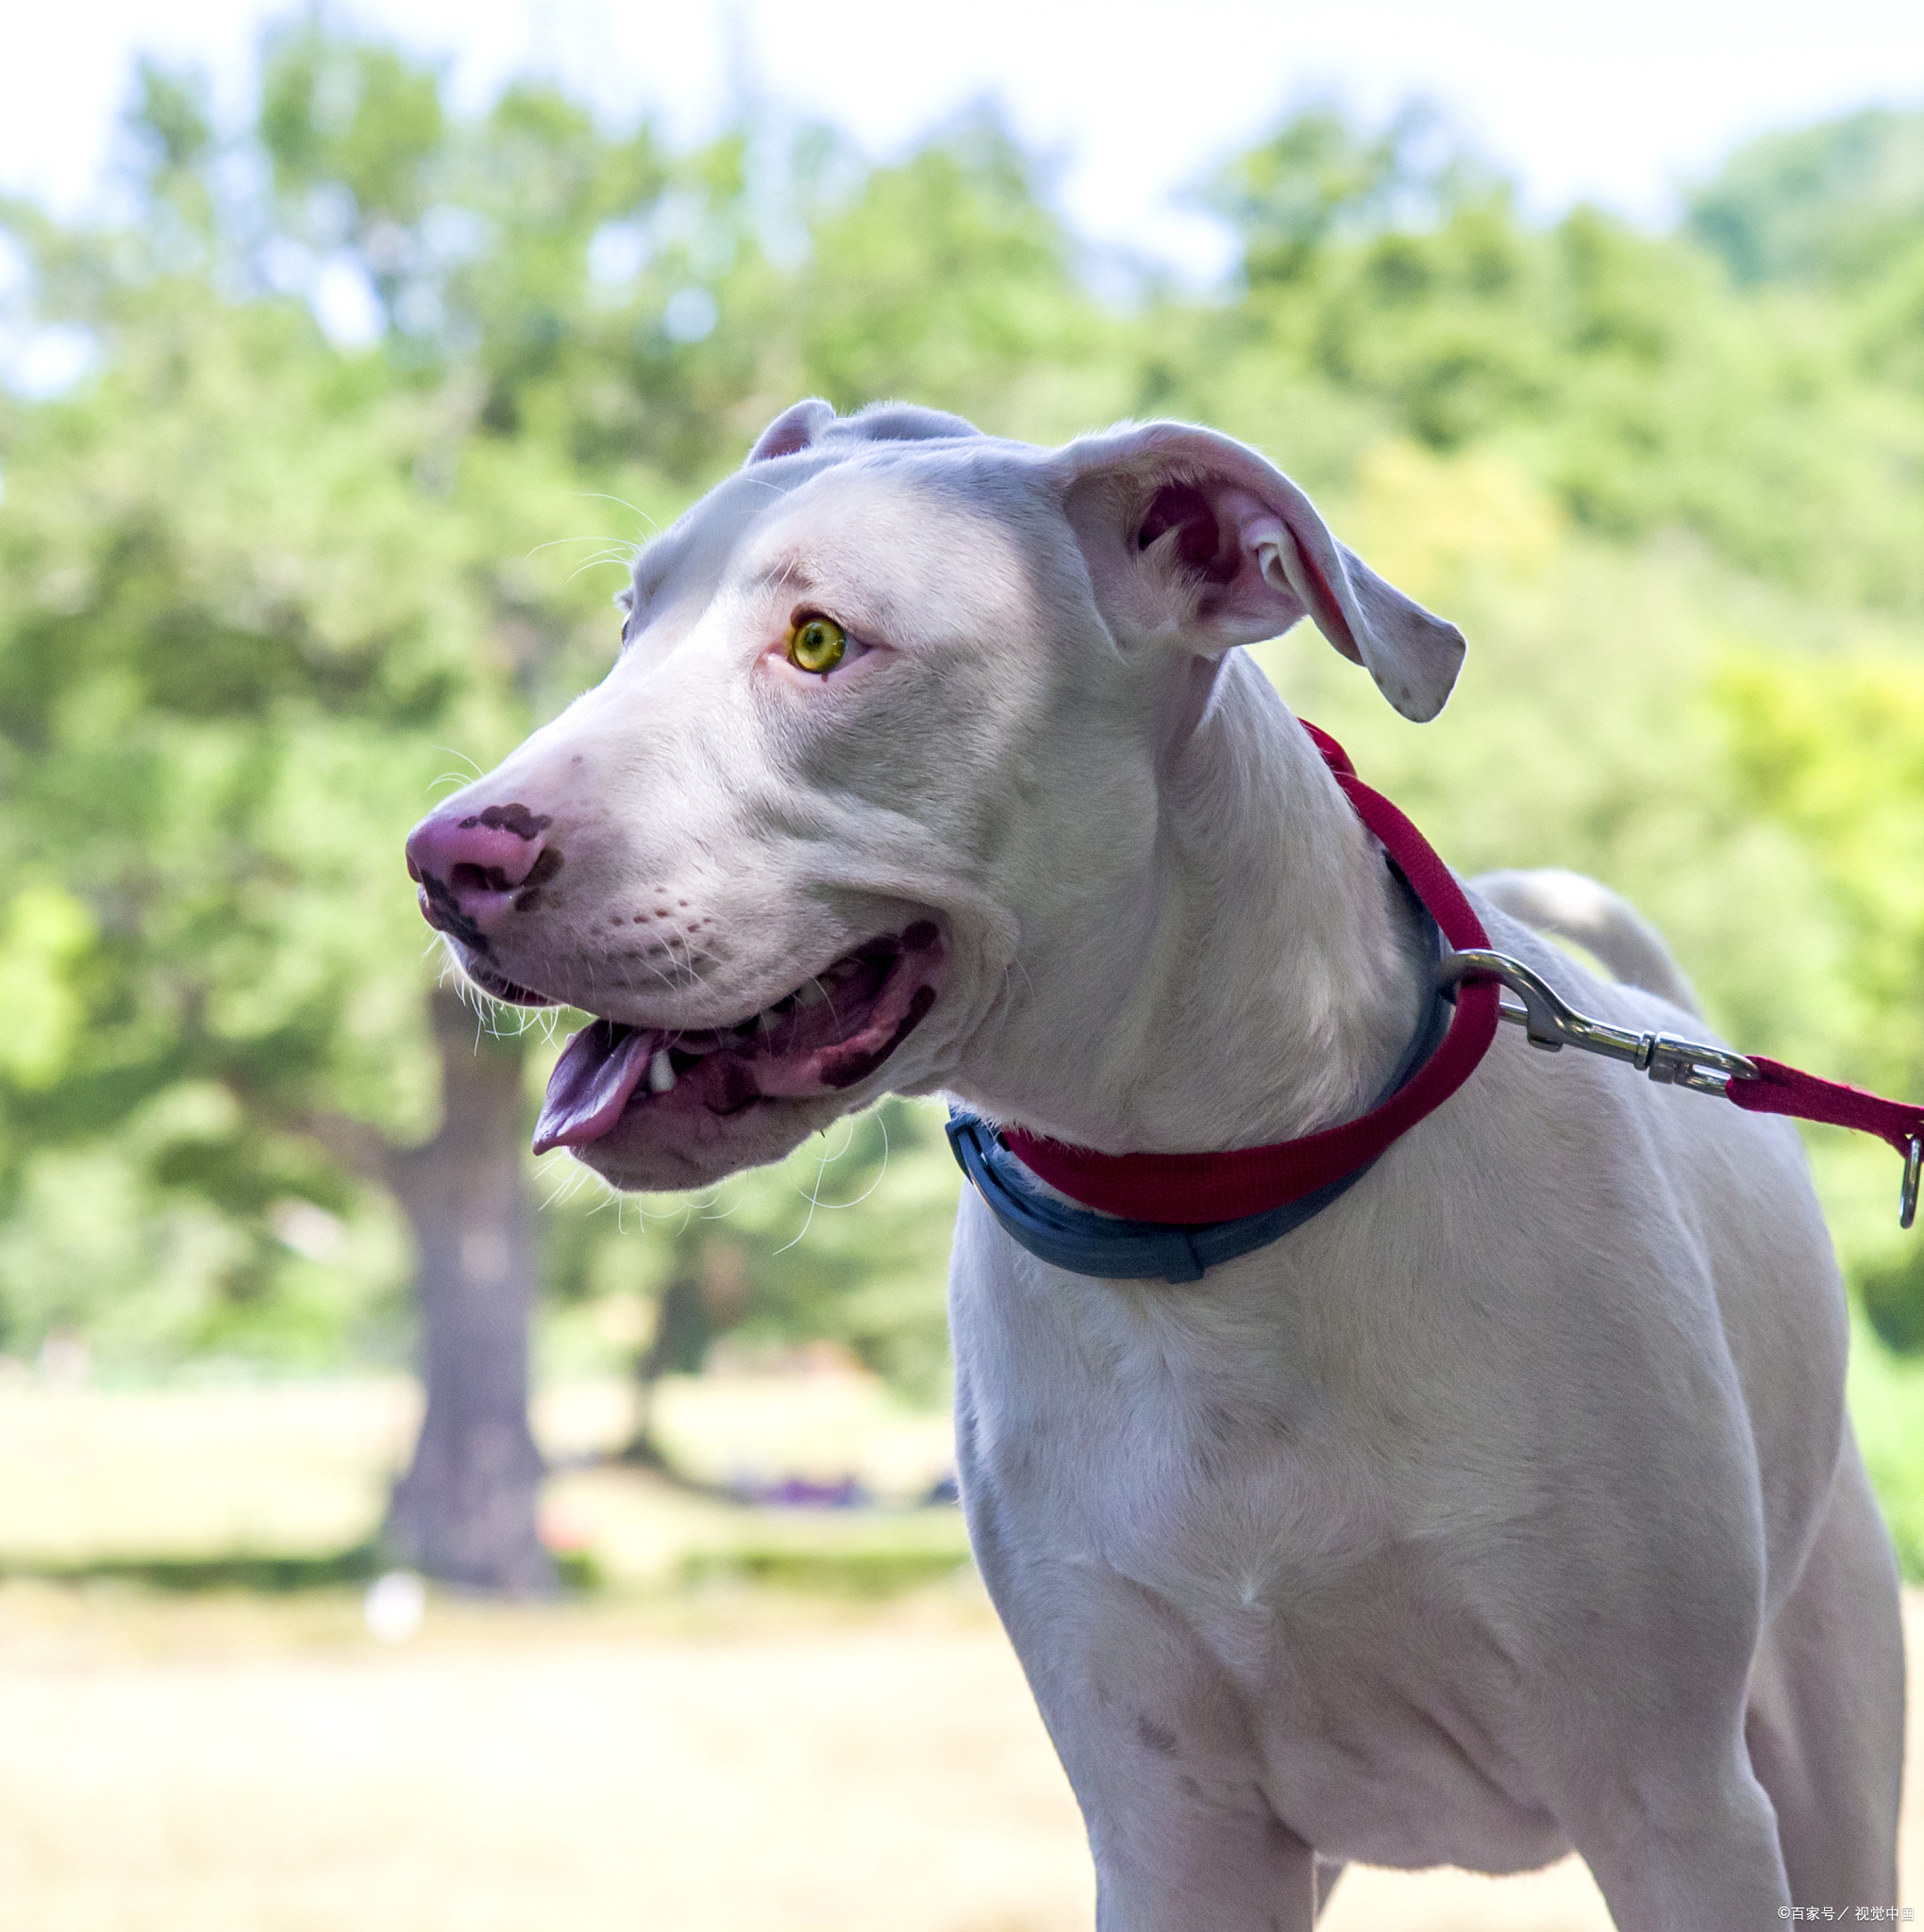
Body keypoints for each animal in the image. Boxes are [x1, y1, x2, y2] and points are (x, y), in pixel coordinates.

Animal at [410, 399, 1908, 1924]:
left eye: (820, 641)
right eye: (626, 625)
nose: (443, 861)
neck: (1217, 1207)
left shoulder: (1671, 1807)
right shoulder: (1167, 1824)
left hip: (1818, 1756)